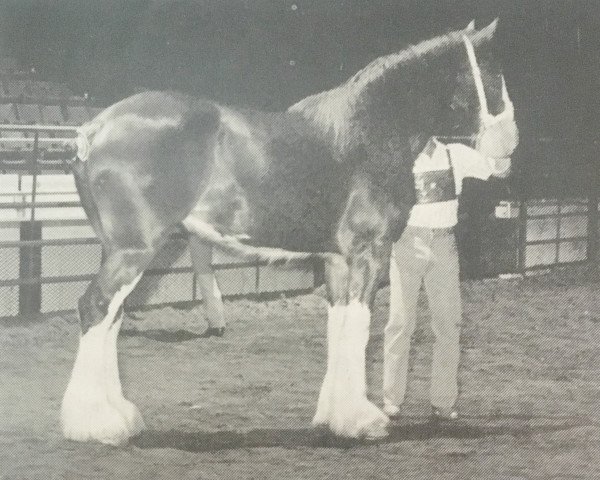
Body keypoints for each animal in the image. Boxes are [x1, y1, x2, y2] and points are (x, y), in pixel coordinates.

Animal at [61, 19, 516, 446]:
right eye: (494, 77)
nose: (510, 145)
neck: (370, 133)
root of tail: (95, 129)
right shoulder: (369, 253)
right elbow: (359, 327)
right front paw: (363, 421)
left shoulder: (337, 261)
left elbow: (339, 328)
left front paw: (333, 416)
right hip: (135, 250)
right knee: (95, 308)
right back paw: (96, 424)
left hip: (118, 250)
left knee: (112, 316)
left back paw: (120, 416)